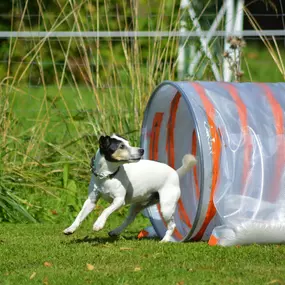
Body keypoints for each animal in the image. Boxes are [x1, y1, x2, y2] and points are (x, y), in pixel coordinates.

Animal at [62, 134, 195, 241]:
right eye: (121, 146)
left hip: (166, 207)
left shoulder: (119, 200)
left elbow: (106, 210)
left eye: (128, 143)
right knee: (129, 219)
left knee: (172, 225)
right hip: (138, 205)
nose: (142, 150)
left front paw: (98, 224)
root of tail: (175, 173)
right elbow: (80, 215)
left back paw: (165, 240)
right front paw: (70, 228)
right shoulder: (91, 200)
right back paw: (115, 231)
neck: (107, 176)